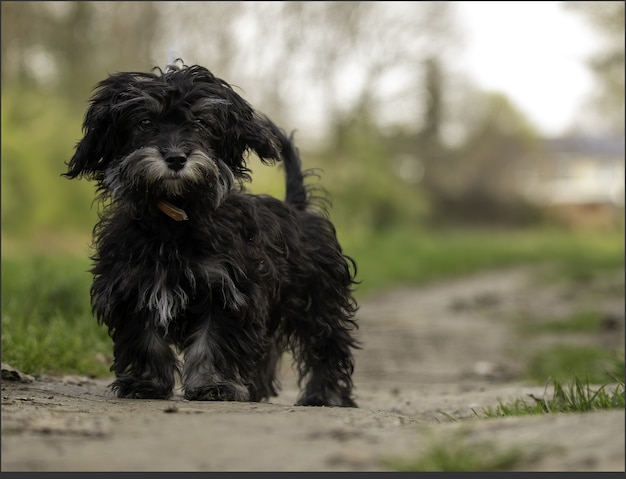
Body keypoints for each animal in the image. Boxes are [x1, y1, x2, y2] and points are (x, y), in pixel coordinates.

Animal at [64, 59, 358, 404]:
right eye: (144, 122)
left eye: (202, 123)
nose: (176, 157)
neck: (175, 217)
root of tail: (296, 207)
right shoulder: (133, 288)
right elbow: (146, 340)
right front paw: (146, 384)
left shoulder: (227, 290)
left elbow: (212, 342)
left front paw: (212, 385)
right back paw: (256, 389)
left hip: (317, 301)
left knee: (326, 345)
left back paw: (325, 395)